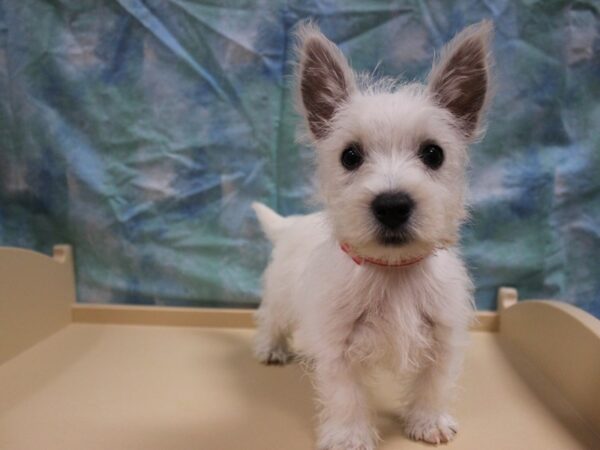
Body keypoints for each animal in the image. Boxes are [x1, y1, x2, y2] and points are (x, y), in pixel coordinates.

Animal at [253, 20, 492, 450]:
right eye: (350, 156)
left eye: (434, 153)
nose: (392, 205)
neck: (392, 271)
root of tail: (292, 224)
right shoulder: (337, 341)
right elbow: (345, 392)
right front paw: (350, 436)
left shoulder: (444, 333)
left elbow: (434, 382)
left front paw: (429, 422)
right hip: (280, 294)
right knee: (270, 317)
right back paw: (270, 348)